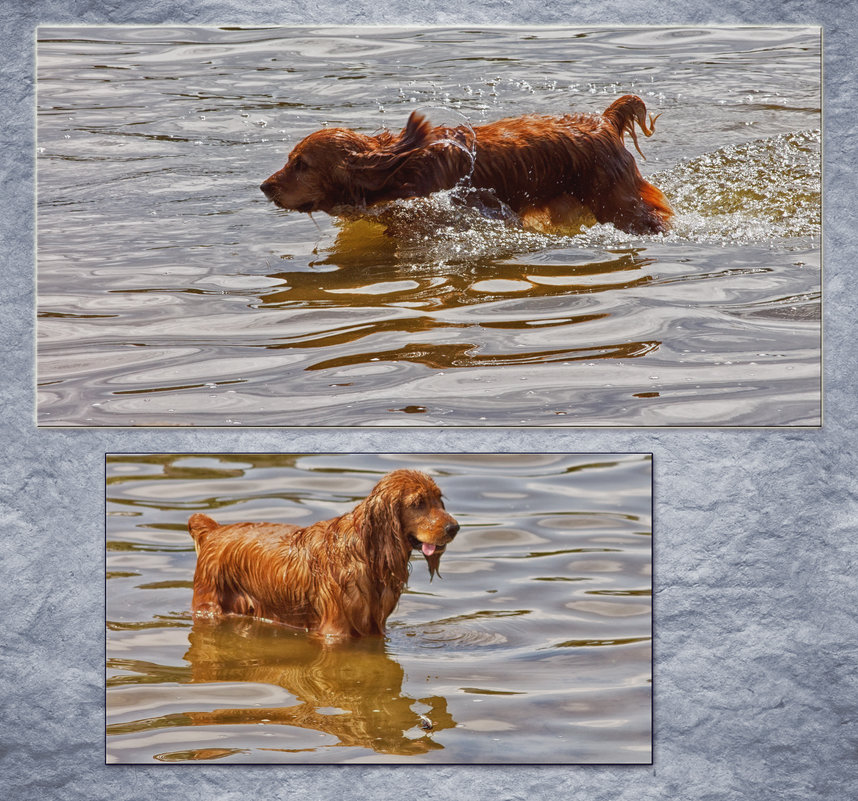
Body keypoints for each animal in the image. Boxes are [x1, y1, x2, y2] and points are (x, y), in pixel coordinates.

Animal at [186, 468, 454, 636]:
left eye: (438, 499)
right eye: (417, 503)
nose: (454, 528)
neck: (365, 551)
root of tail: (214, 531)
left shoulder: (375, 628)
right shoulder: (335, 631)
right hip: (209, 606)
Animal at [258, 93, 672, 233]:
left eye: (302, 164)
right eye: (290, 160)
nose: (264, 186)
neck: (403, 166)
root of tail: (604, 120)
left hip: (616, 202)